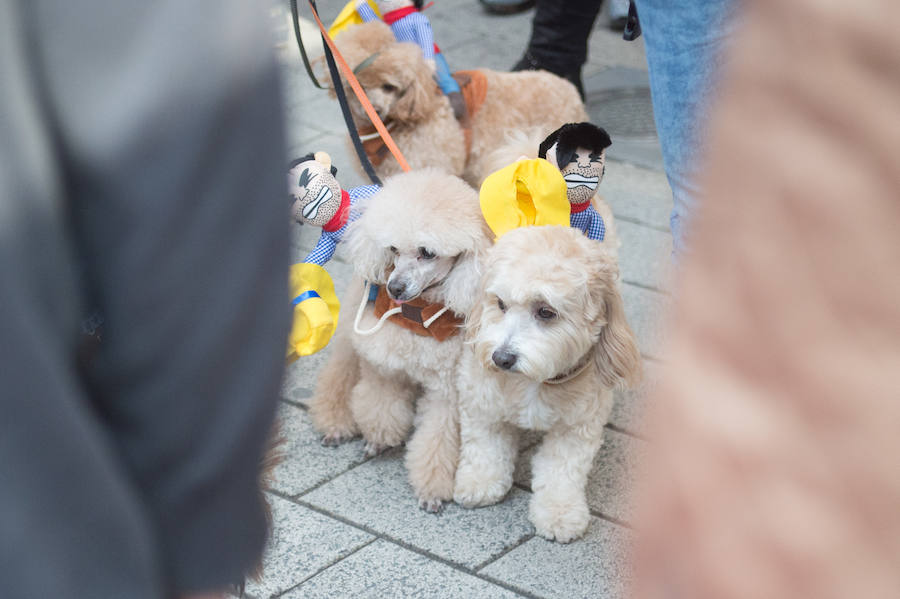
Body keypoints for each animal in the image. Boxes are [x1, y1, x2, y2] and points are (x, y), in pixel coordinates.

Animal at [310, 168, 492, 510]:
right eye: (393, 249)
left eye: (427, 253)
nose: (393, 287)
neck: (417, 315)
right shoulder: (383, 366)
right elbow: (381, 408)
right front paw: (378, 440)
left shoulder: (446, 392)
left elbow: (437, 439)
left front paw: (432, 490)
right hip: (350, 330)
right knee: (339, 374)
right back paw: (335, 424)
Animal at [458, 226, 640, 544]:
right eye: (500, 304)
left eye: (545, 311)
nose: (501, 358)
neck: (537, 380)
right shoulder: (481, 400)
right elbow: (485, 445)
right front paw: (480, 480)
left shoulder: (577, 426)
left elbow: (560, 471)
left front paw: (560, 512)